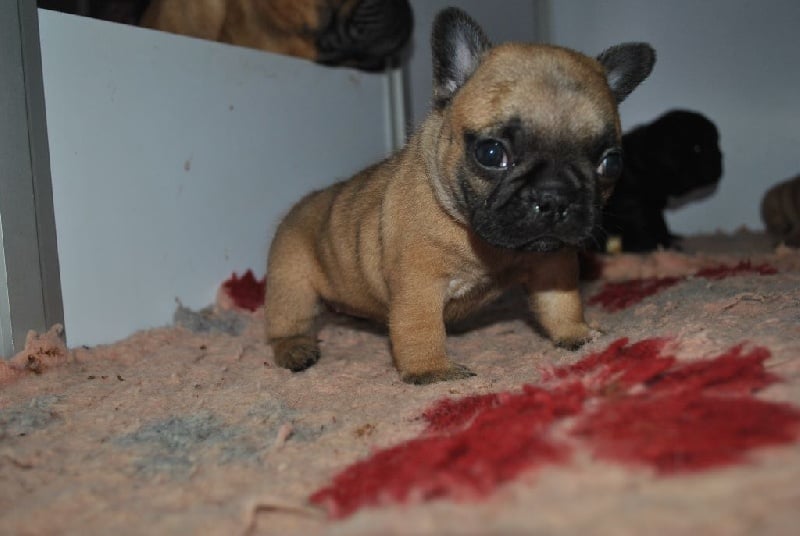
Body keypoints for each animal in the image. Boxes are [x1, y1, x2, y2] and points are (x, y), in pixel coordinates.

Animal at [264, 7, 655, 384]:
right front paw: (432, 371)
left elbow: (562, 303)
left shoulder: (552, 264)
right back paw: (295, 349)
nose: (555, 197)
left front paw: (578, 334)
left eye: (611, 163)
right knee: (287, 322)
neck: (484, 243)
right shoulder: (418, 285)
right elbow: (419, 329)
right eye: (491, 153)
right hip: (292, 282)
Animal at [599, 110, 723, 252]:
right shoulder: (636, 206)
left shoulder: (653, 206)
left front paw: (669, 238)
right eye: (697, 148)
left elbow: (659, 224)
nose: (720, 157)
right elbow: (646, 226)